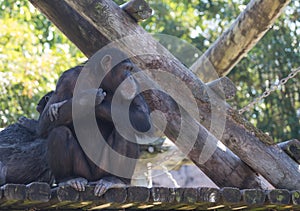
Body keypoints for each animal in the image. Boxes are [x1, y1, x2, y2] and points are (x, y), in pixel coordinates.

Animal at [36, 47, 151, 196]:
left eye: (131, 69)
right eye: (126, 68)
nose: (131, 77)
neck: (100, 80)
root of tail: (93, 179)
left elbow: (142, 117)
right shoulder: (66, 79)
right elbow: (43, 125)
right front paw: (86, 98)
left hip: (103, 169)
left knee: (124, 128)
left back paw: (117, 180)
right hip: (83, 170)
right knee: (59, 131)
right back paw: (69, 179)